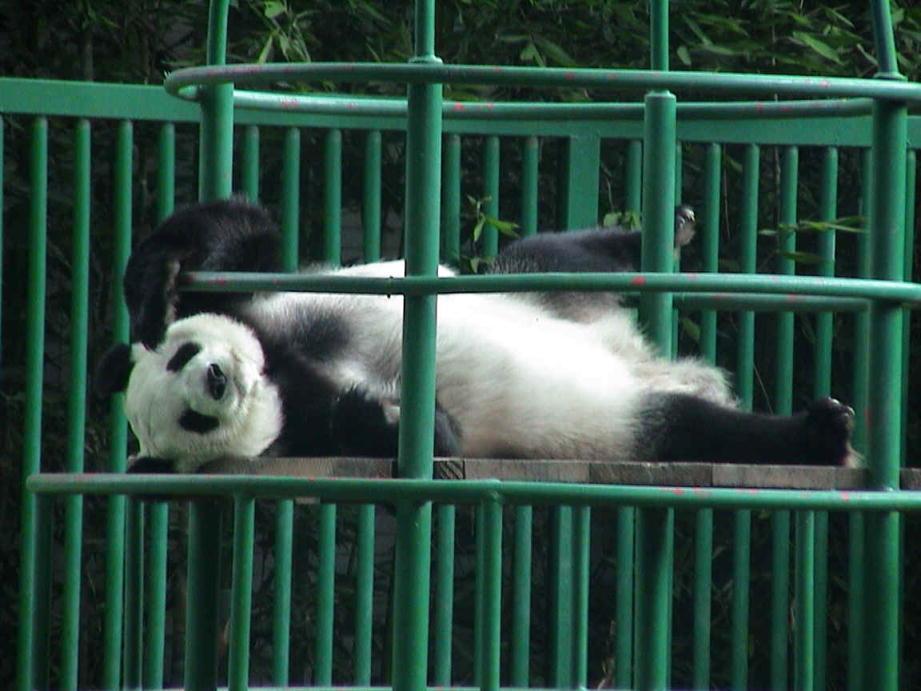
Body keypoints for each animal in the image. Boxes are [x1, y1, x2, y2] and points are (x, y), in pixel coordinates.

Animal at [97, 198, 856, 473]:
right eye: (192, 421)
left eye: (184, 355)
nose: (219, 379)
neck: (280, 370)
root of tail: (639, 358)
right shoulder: (300, 430)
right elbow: (432, 441)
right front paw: (379, 413)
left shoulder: (270, 305)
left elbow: (238, 234)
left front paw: (157, 281)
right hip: (613, 420)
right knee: (697, 430)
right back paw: (813, 433)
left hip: (532, 289)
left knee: (557, 254)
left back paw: (664, 231)